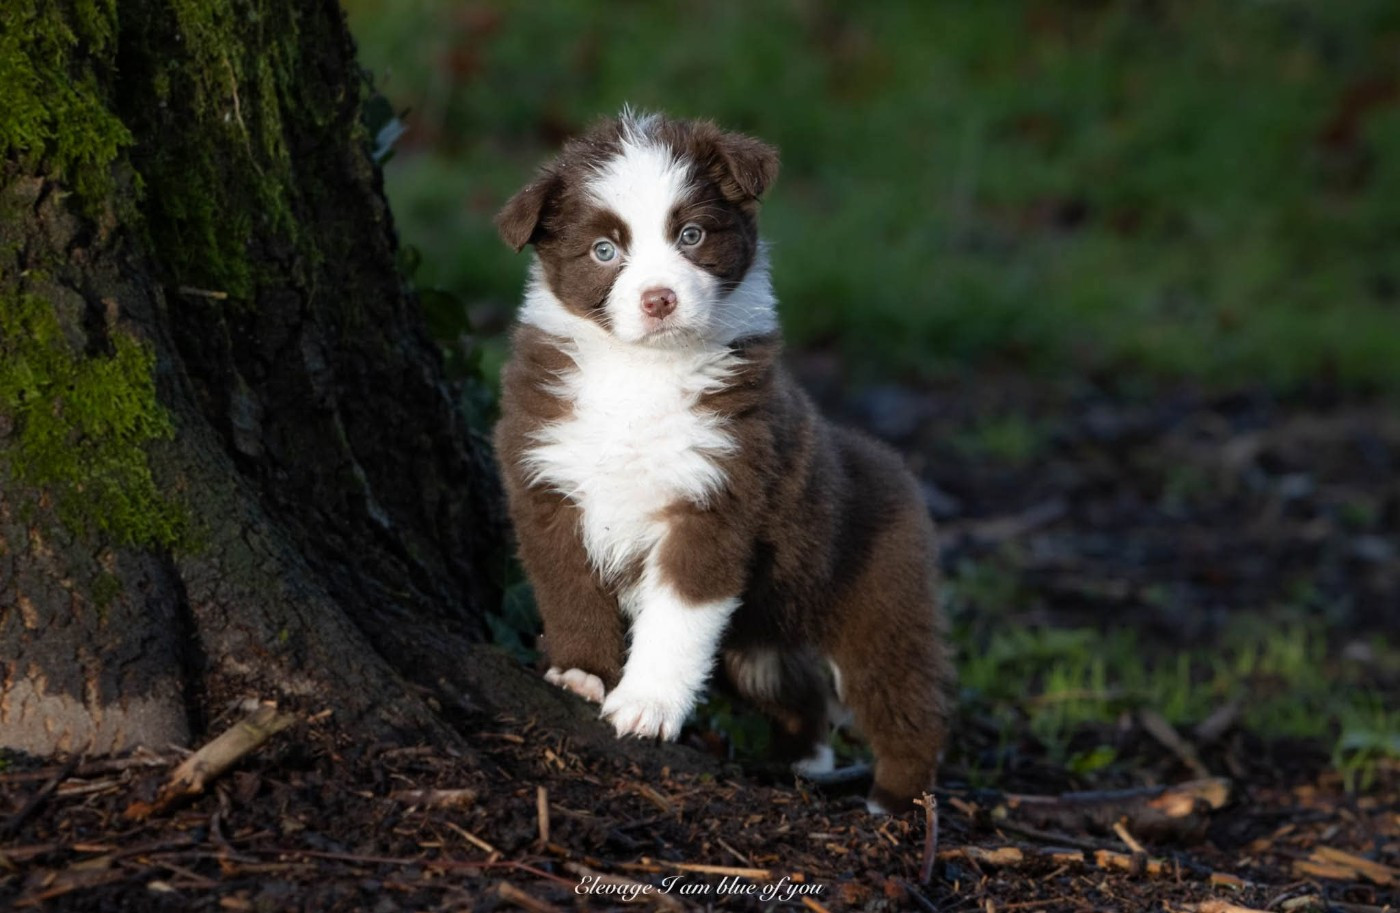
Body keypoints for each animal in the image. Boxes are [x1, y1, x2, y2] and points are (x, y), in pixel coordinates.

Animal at [492, 110, 953, 812]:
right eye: (604, 251)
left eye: (690, 234)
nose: (658, 299)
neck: (640, 375)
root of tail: (889, 461)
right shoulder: (547, 480)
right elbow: (567, 583)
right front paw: (580, 672)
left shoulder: (717, 498)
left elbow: (677, 618)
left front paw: (645, 706)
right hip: (757, 636)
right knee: (795, 691)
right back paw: (804, 761)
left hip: (881, 596)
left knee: (903, 697)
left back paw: (897, 800)